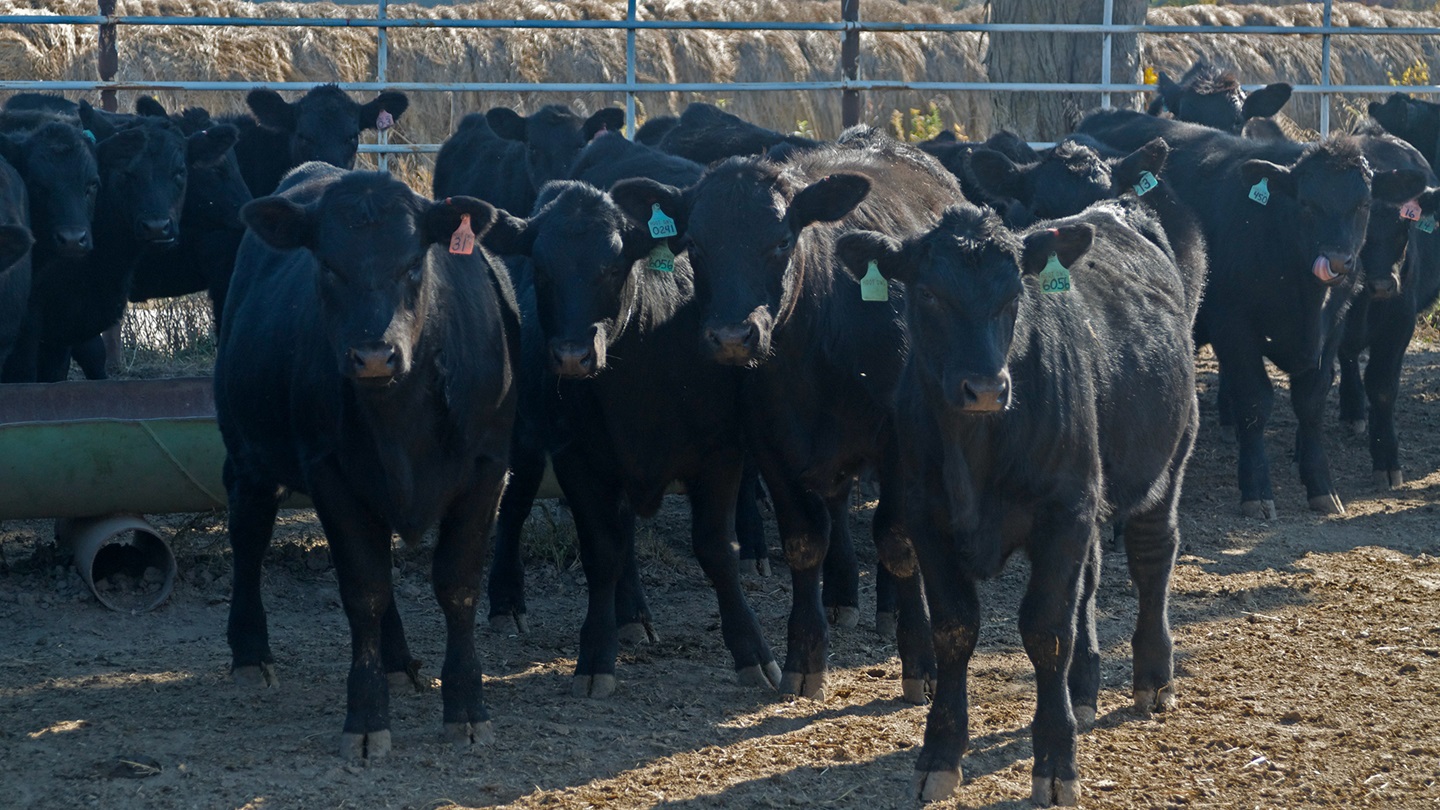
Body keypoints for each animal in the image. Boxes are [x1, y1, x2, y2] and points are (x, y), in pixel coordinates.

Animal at [216, 164, 517, 758]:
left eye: (413, 262)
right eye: (328, 266)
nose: (374, 354)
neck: (400, 420)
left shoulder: (488, 468)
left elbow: (457, 586)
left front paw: (467, 708)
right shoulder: (329, 473)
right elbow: (364, 592)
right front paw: (366, 716)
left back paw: (399, 662)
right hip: (246, 454)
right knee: (249, 534)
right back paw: (251, 653)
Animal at [481, 180, 780, 697]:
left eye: (614, 267)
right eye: (541, 268)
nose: (573, 355)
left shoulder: (720, 452)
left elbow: (716, 550)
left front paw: (752, 652)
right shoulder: (576, 456)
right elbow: (602, 552)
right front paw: (595, 658)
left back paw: (633, 615)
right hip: (525, 441)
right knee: (516, 507)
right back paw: (506, 603)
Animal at [609, 128, 950, 702]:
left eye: (782, 241)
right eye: (694, 246)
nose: (731, 336)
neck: (814, 346)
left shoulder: (899, 442)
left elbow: (897, 540)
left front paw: (921, 662)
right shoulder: (770, 443)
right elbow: (804, 542)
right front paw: (805, 657)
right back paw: (842, 597)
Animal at [836, 198, 1200, 806]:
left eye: (1014, 295)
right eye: (927, 292)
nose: (985, 387)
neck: (974, 451)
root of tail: (1117, 208)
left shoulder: (1062, 512)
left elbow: (1047, 630)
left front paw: (1056, 762)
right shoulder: (926, 517)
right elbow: (955, 628)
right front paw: (940, 753)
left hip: (1166, 459)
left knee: (1152, 555)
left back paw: (1153, 676)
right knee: (1090, 581)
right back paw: (1084, 688)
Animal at [1079, 110, 1426, 517]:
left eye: (1364, 205)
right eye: (1306, 203)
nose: (1340, 261)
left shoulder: (1333, 329)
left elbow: (1311, 402)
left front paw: (1321, 486)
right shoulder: (1235, 326)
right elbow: (1255, 403)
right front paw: (1257, 490)